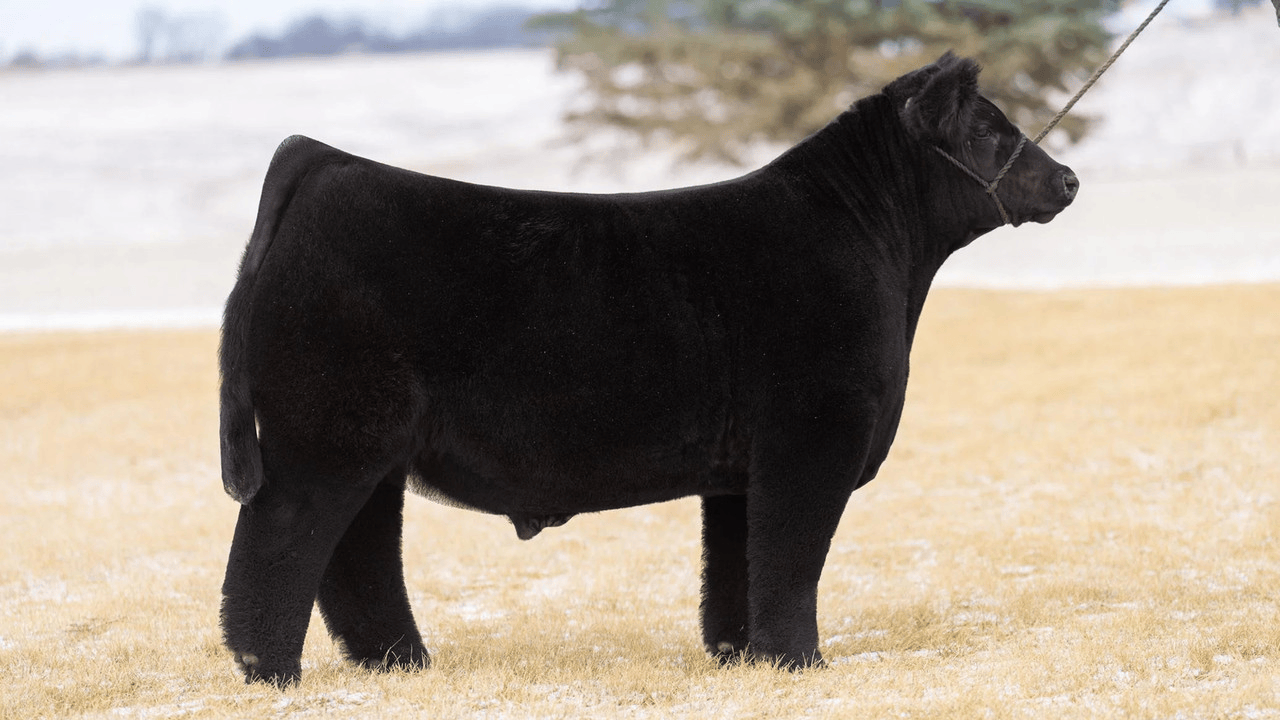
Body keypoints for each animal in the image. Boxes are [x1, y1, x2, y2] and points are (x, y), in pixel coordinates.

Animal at [218, 52, 1078, 686]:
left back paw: (400, 665)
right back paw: (272, 670)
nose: (1068, 179)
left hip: (370, 448)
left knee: (356, 550)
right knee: (282, 542)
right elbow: (792, 555)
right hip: (326, 439)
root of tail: (323, 161)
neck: (881, 252)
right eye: (990, 132)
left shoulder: (741, 468)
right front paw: (800, 661)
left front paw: (742, 656)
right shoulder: (814, 437)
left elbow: (738, 563)